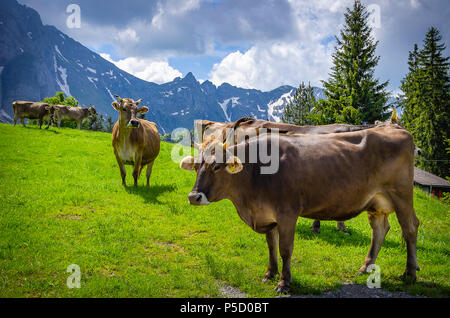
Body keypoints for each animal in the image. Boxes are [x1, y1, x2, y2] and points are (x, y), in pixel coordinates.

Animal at [181, 125, 420, 294]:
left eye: (217, 166)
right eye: (196, 166)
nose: (194, 197)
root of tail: (396, 129)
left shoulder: (287, 213)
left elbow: (285, 249)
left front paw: (284, 283)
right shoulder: (267, 215)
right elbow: (271, 246)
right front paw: (270, 274)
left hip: (402, 195)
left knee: (410, 228)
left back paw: (409, 272)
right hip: (376, 202)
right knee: (379, 229)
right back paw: (366, 268)